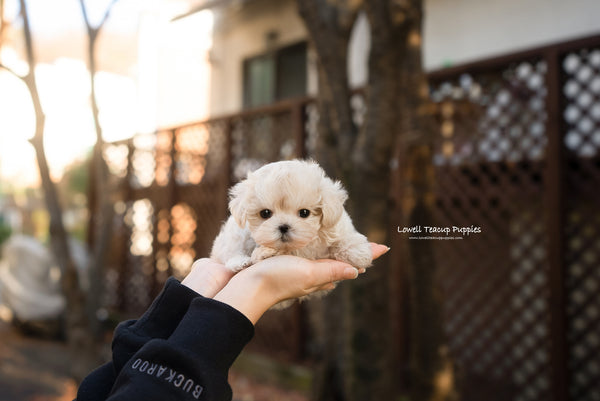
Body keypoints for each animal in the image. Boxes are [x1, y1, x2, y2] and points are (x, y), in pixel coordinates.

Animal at [210, 159, 370, 306]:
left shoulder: (336, 225)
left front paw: (357, 251)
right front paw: (265, 253)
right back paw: (239, 262)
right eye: (265, 213)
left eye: (304, 213)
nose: (283, 227)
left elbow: (342, 238)